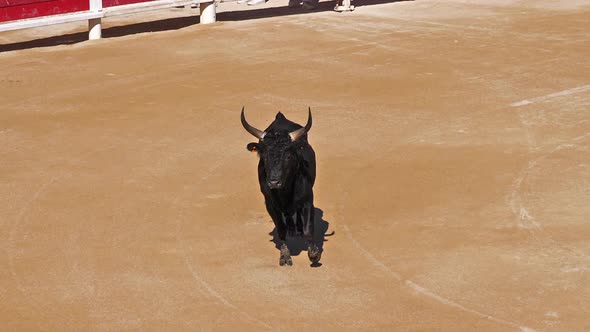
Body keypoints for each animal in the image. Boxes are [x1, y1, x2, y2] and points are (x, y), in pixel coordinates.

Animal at [242, 107, 322, 266]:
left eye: (288, 156)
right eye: (264, 155)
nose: (274, 182)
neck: (285, 191)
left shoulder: (307, 199)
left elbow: (308, 229)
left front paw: (314, 254)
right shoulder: (271, 205)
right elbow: (281, 229)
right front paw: (285, 256)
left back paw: (297, 229)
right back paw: (291, 228)